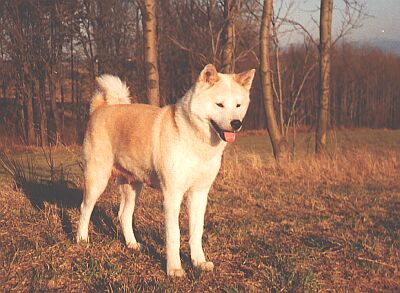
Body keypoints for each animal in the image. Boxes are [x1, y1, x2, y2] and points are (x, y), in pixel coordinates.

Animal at [76, 64, 255, 276]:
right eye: (219, 104)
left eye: (238, 106)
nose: (236, 123)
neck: (196, 141)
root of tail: (101, 108)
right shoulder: (172, 194)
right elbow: (174, 235)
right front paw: (174, 269)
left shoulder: (199, 194)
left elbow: (197, 232)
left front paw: (199, 262)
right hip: (97, 179)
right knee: (85, 209)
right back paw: (82, 239)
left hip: (132, 186)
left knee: (123, 215)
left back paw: (132, 245)